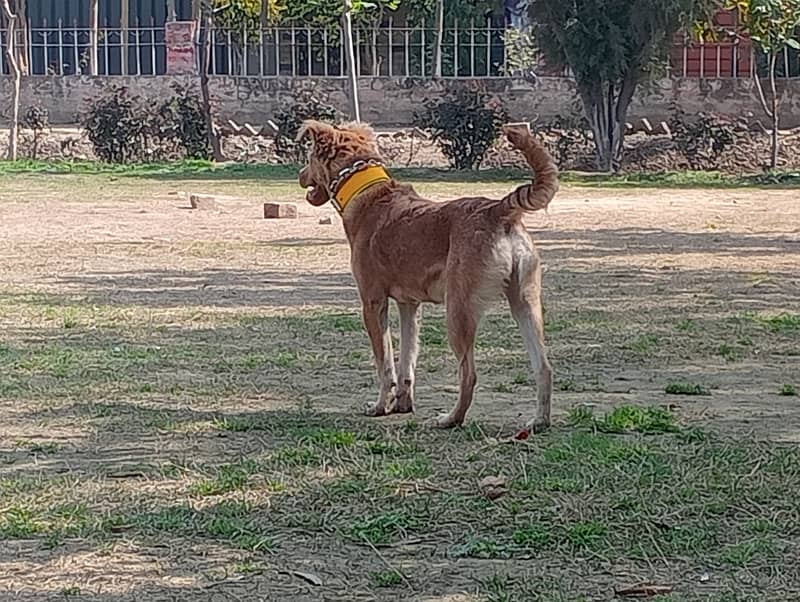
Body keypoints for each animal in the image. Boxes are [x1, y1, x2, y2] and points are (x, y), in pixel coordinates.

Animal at [296, 120, 560, 432]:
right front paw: (402, 404)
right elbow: (407, 361)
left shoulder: (372, 304)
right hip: (525, 304)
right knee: (543, 367)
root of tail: (497, 209)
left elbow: (385, 364)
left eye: (308, 156)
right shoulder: (409, 306)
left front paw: (381, 406)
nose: (299, 176)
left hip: (458, 312)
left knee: (468, 374)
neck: (369, 194)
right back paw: (539, 420)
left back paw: (452, 418)